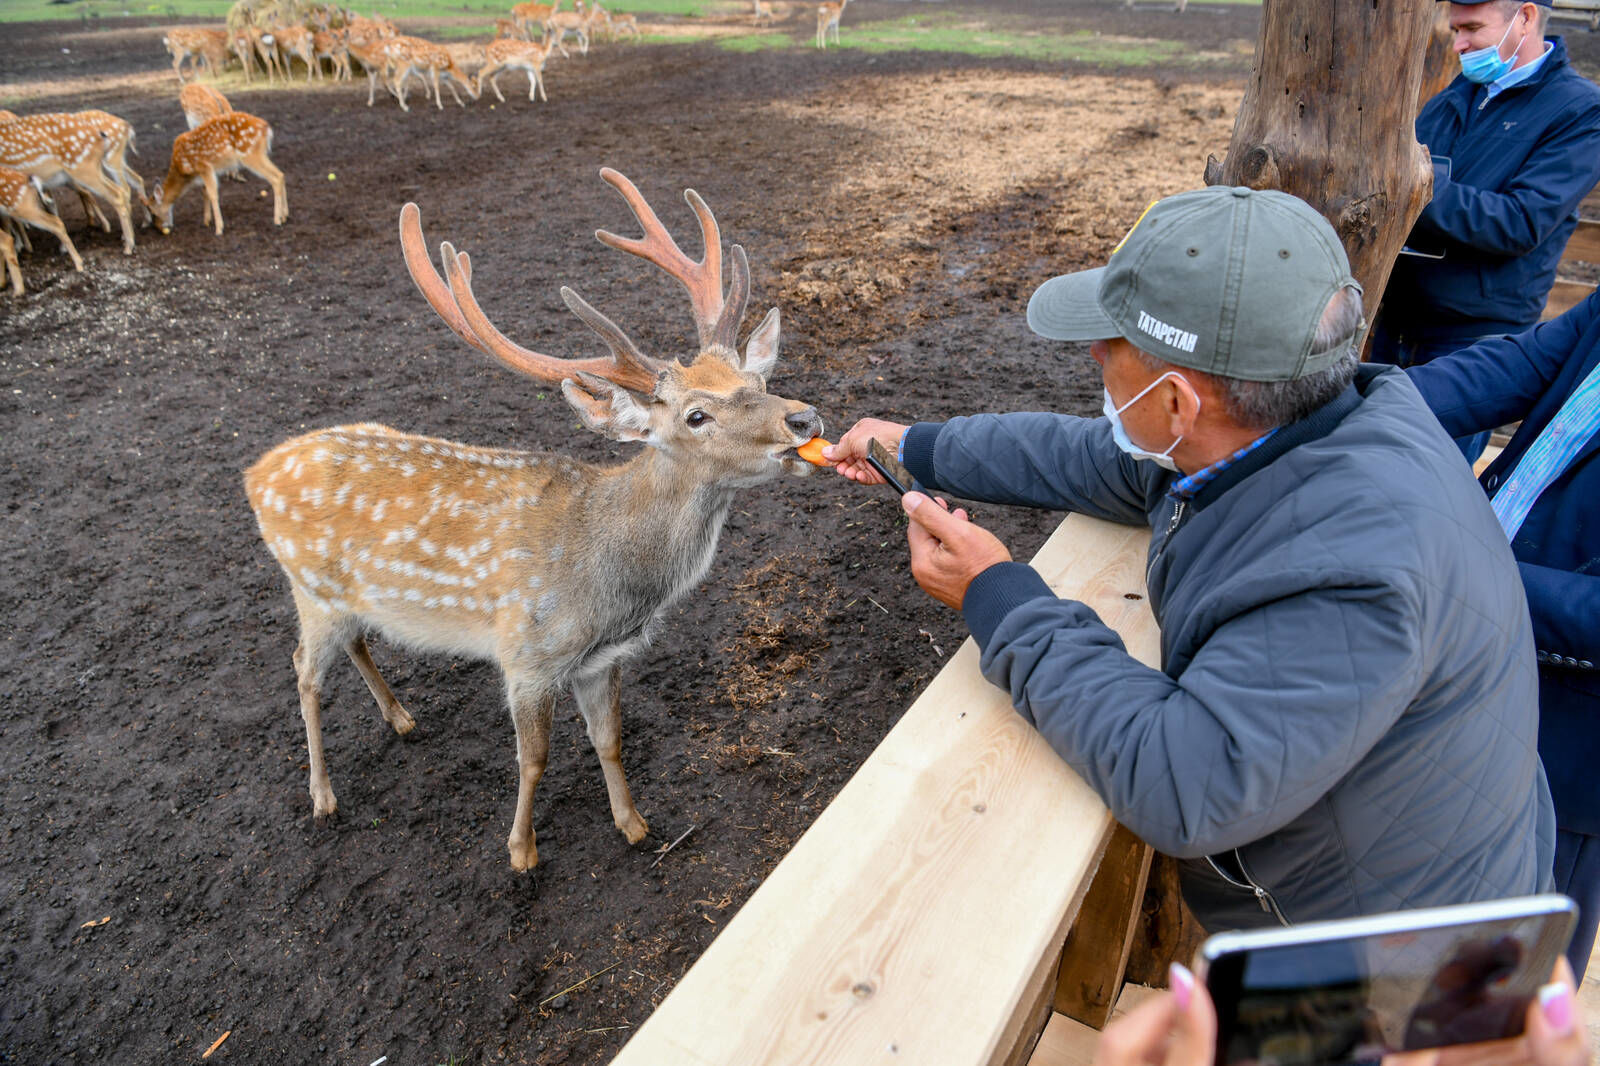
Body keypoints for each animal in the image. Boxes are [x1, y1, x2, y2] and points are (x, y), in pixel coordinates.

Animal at [150, 112, 288, 235]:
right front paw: (206, 221)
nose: (160, 229)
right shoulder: (205, 171)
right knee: (281, 174)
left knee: (275, 177)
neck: (184, 170)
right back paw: (285, 216)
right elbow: (204, 192)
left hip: (250, 154)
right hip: (260, 154)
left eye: (154, 213)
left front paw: (219, 229)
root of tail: (267, 128)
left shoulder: (204, 166)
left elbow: (212, 194)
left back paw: (277, 219)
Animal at [249, 170, 825, 870]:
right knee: (303, 669)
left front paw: (634, 825)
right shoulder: (525, 657)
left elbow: (609, 740)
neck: (607, 586)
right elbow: (534, 759)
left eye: (756, 380)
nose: (803, 418)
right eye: (696, 415)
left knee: (354, 640)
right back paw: (323, 795)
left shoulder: (602, 659)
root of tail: (255, 476)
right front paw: (521, 852)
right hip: (310, 588)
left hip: (345, 599)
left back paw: (401, 718)